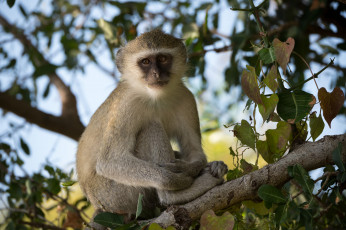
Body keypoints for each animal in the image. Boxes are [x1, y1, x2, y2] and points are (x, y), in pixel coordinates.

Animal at [76, 28, 228, 226]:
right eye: (146, 62)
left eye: (162, 59)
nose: (156, 74)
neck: (154, 97)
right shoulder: (126, 103)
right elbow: (110, 161)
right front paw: (176, 179)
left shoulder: (186, 97)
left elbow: (194, 152)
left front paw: (191, 168)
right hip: (116, 195)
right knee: (151, 127)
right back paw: (173, 196)